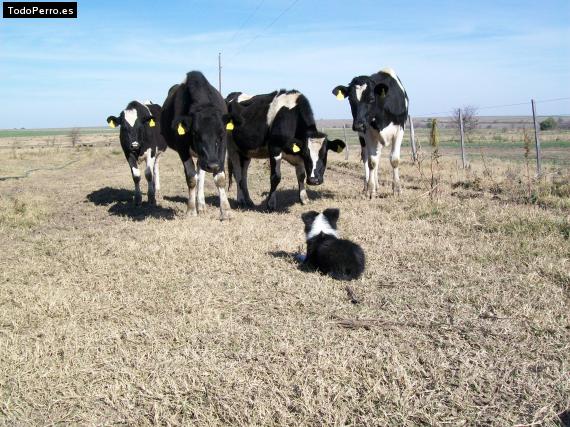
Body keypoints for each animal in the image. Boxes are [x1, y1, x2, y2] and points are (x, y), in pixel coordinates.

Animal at [160, 71, 231, 221]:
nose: (212, 165)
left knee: (201, 176)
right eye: (195, 133)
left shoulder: (222, 148)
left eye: (221, 133)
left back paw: (202, 205)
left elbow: (220, 178)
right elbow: (192, 178)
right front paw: (191, 210)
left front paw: (226, 211)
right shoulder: (182, 149)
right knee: (198, 175)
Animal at [330, 69, 406, 199]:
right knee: (367, 157)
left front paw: (396, 188)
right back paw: (367, 186)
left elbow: (394, 160)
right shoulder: (368, 134)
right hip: (363, 139)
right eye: (350, 100)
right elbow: (372, 162)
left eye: (371, 98)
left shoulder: (399, 130)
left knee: (378, 156)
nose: (358, 125)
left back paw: (377, 185)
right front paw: (370, 190)